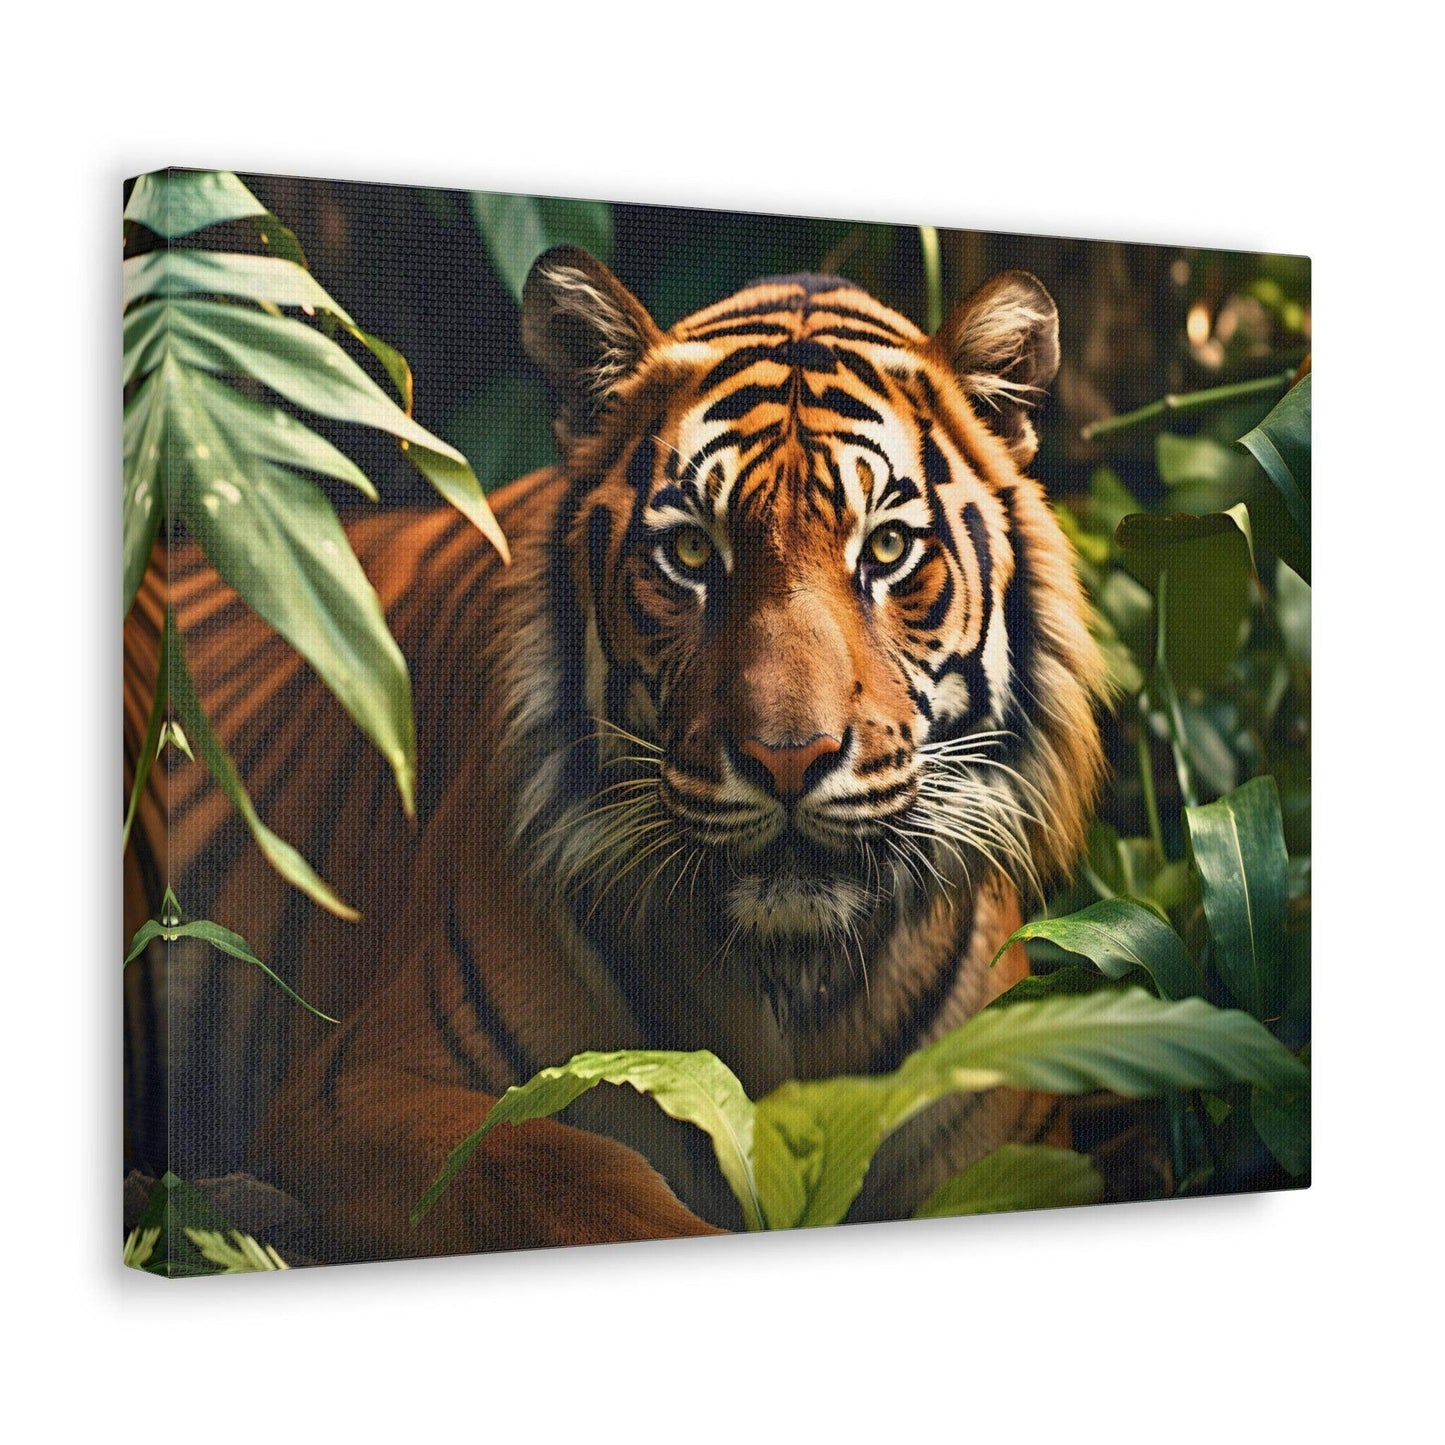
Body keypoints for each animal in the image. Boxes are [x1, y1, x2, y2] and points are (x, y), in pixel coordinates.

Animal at [123, 248, 1108, 1261]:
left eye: (887, 547)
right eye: (691, 553)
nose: (787, 759)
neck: (788, 986)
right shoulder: (353, 1086)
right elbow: (559, 1170)